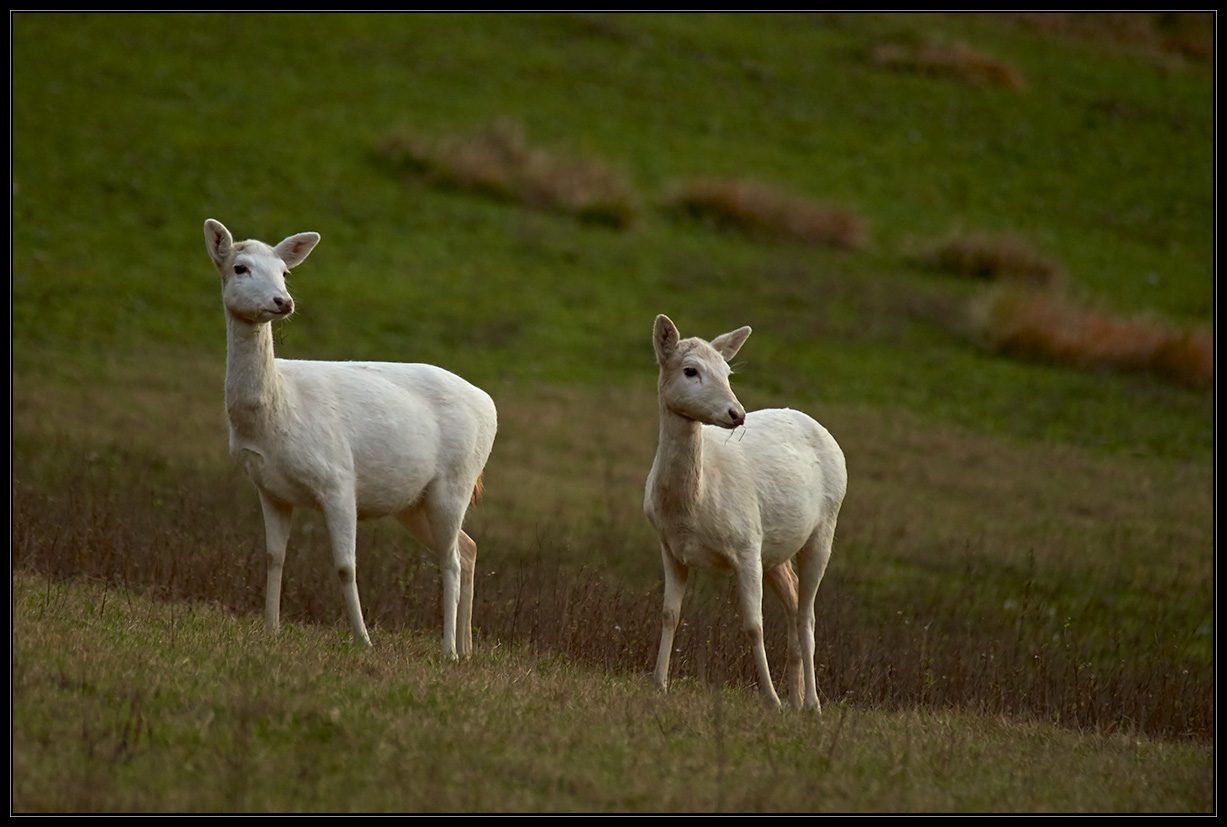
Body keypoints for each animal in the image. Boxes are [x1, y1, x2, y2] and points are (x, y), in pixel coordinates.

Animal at [204, 218, 497, 659]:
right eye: (240, 267)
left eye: (285, 272)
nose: (282, 301)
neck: (276, 413)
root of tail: (490, 406)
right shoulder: (269, 487)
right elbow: (274, 556)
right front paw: (270, 629)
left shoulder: (337, 478)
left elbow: (345, 566)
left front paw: (364, 639)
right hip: (412, 501)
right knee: (469, 546)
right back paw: (467, 649)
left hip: (455, 483)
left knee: (451, 560)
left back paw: (447, 649)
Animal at [643, 314, 846, 711]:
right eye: (690, 370)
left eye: (727, 372)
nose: (736, 414)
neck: (690, 507)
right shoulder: (669, 546)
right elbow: (669, 614)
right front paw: (659, 684)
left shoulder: (747, 542)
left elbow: (754, 625)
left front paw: (771, 700)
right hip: (776, 549)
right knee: (794, 597)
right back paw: (797, 698)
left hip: (825, 525)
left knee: (808, 614)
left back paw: (811, 704)